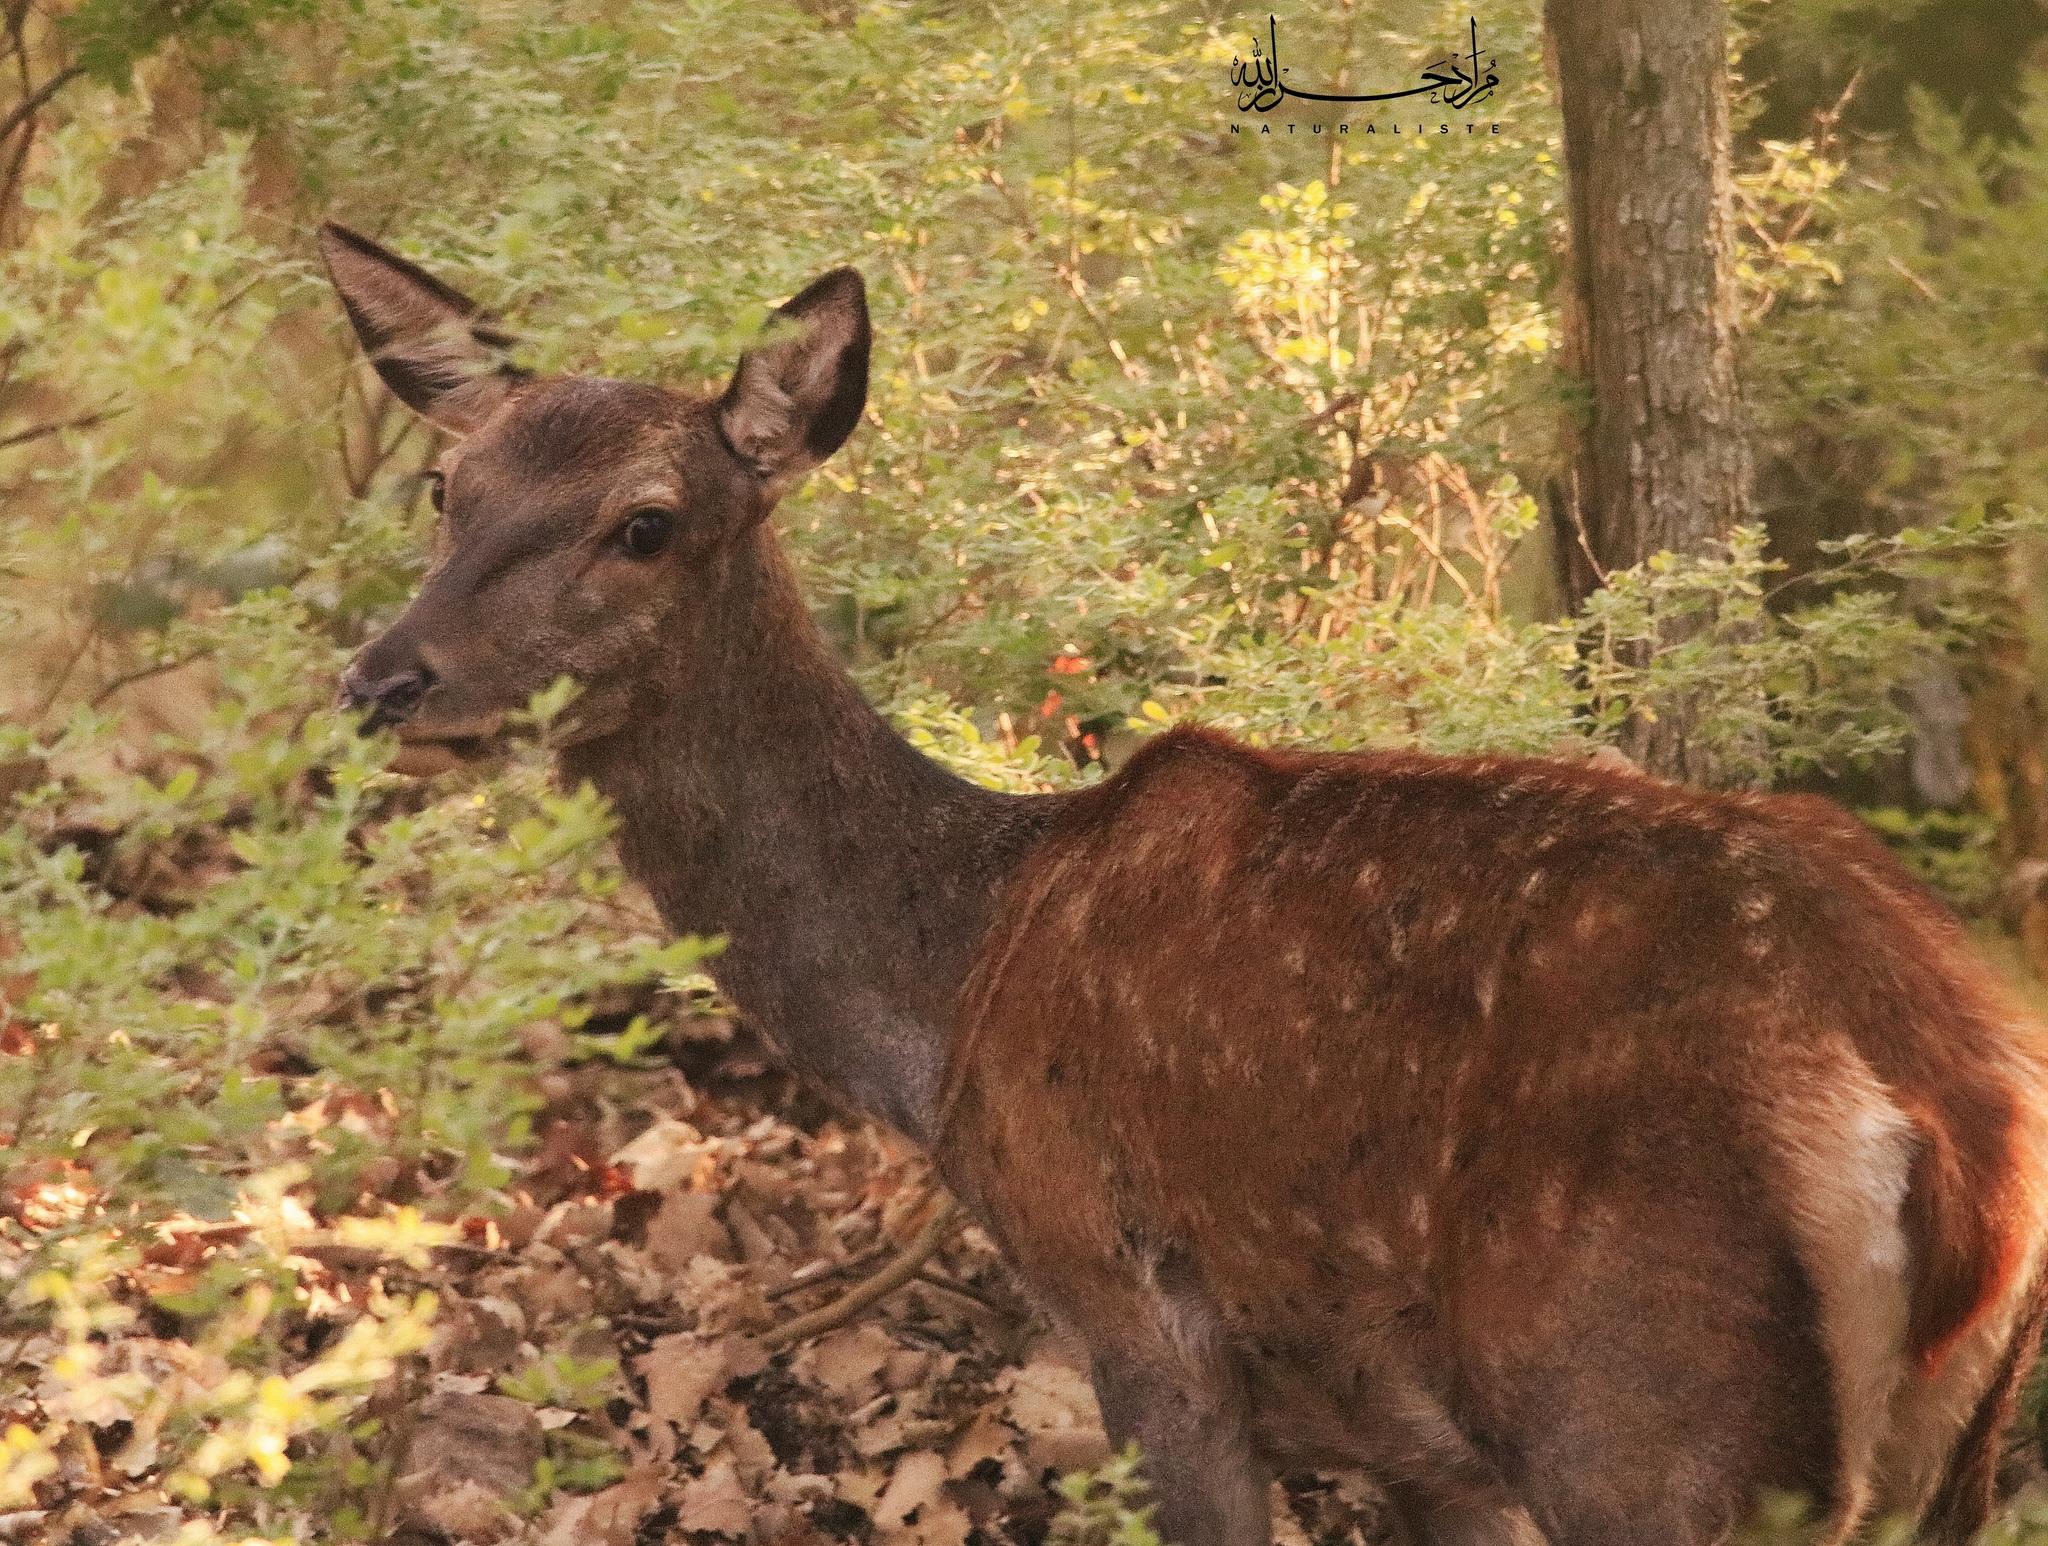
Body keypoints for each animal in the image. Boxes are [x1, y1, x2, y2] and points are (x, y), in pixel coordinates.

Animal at [319, 221, 2048, 1546]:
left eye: (647, 522)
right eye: (447, 491)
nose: (383, 681)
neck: (949, 989)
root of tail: (1952, 1125)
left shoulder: (1136, 1311)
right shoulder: (1417, 1437)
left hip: (1649, 1411)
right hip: (1941, 1455)